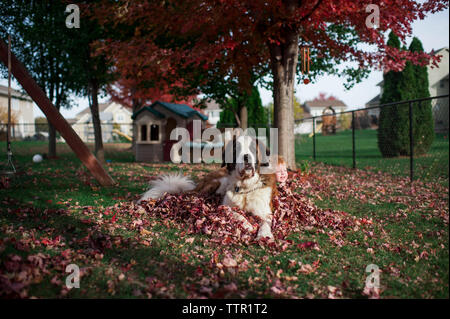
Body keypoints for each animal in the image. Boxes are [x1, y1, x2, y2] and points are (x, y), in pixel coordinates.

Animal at [138, 135, 278, 240]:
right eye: (236, 149)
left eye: (253, 148)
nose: (246, 157)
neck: (245, 187)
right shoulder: (224, 206)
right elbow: (235, 213)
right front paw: (247, 224)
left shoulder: (265, 211)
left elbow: (265, 222)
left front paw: (265, 235)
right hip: (215, 184)